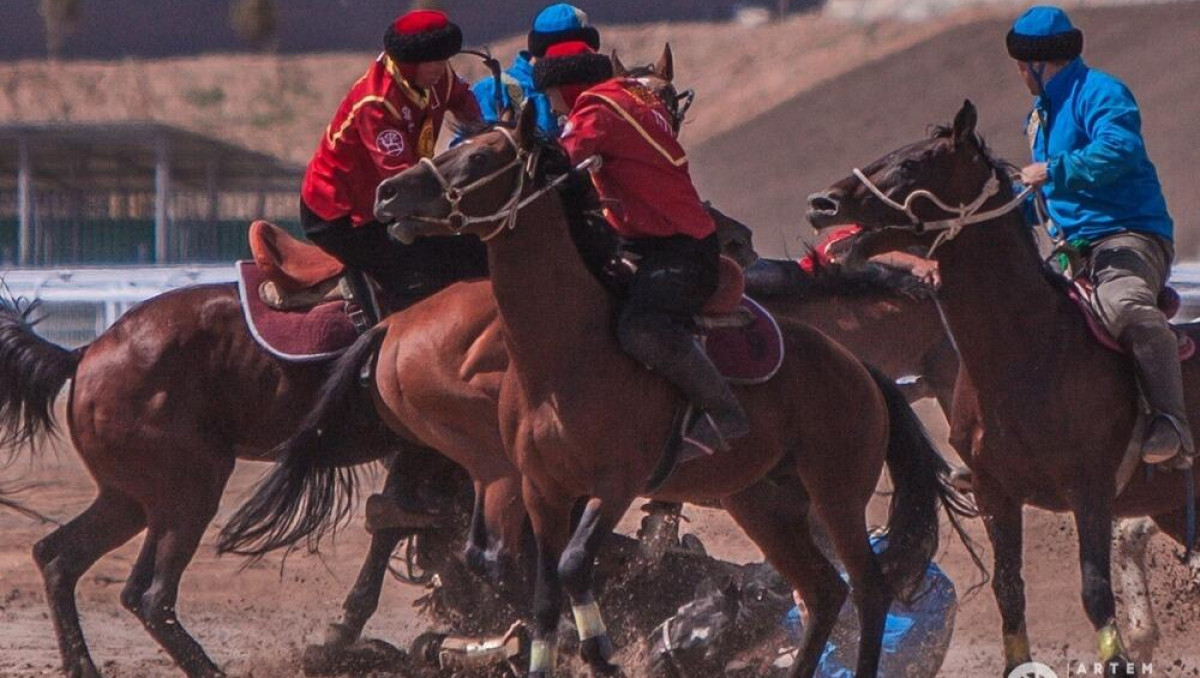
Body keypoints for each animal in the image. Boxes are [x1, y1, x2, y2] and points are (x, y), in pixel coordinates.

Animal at [364, 95, 974, 676]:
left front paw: (602, 652)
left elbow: (573, 565)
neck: (564, 356)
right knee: (823, 591)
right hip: (762, 502)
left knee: (868, 591)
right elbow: (543, 600)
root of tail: (858, 370)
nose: (388, 191)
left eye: (481, 158)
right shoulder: (542, 491)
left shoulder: (616, 484)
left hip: (836, 493)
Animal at [806, 99, 1200, 672]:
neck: (1027, 356)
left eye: (910, 163)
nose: (821, 203)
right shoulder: (997, 494)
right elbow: (1008, 593)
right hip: (1173, 506)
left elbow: (1095, 593)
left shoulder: (1090, 489)